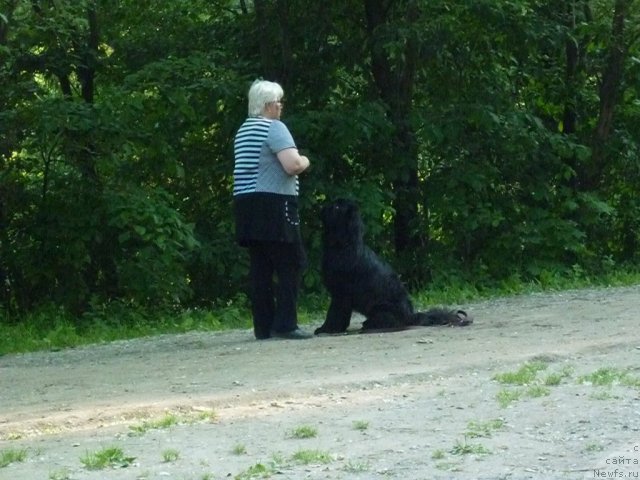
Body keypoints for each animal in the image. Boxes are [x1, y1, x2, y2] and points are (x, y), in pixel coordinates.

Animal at [316, 199, 470, 334]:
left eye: (337, 207)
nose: (322, 207)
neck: (345, 245)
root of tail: (412, 316)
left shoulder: (341, 294)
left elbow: (335, 314)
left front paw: (326, 329)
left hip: (382, 308)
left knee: (389, 321)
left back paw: (369, 324)